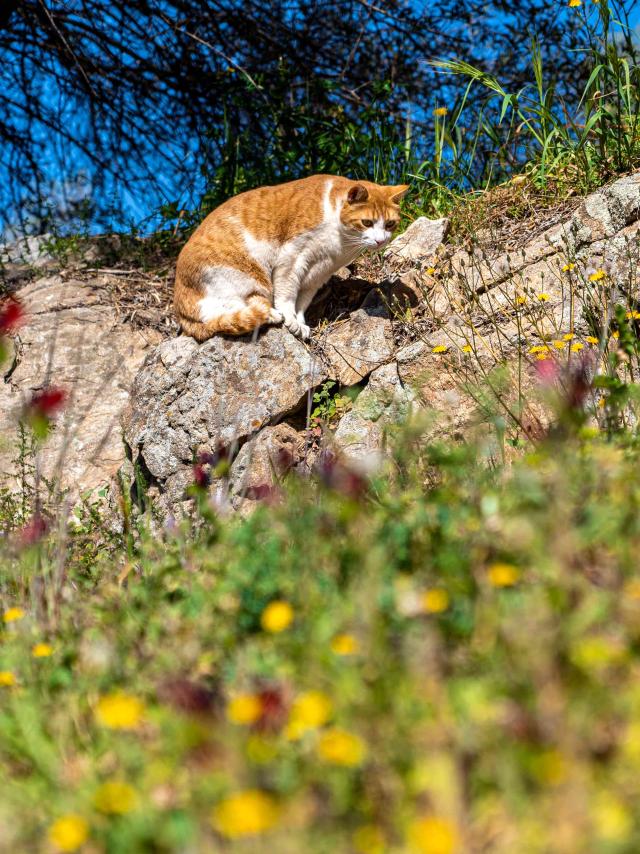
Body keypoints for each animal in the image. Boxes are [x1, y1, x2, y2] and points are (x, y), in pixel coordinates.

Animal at [172, 176, 408, 342]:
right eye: (367, 223)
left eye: (389, 224)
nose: (380, 241)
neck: (341, 244)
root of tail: (181, 313)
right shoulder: (293, 258)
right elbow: (287, 295)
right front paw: (290, 319)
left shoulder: (318, 273)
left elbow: (302, 301)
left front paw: (300, 322)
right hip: (245, 277)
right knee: (228, 313)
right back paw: (272, 314)